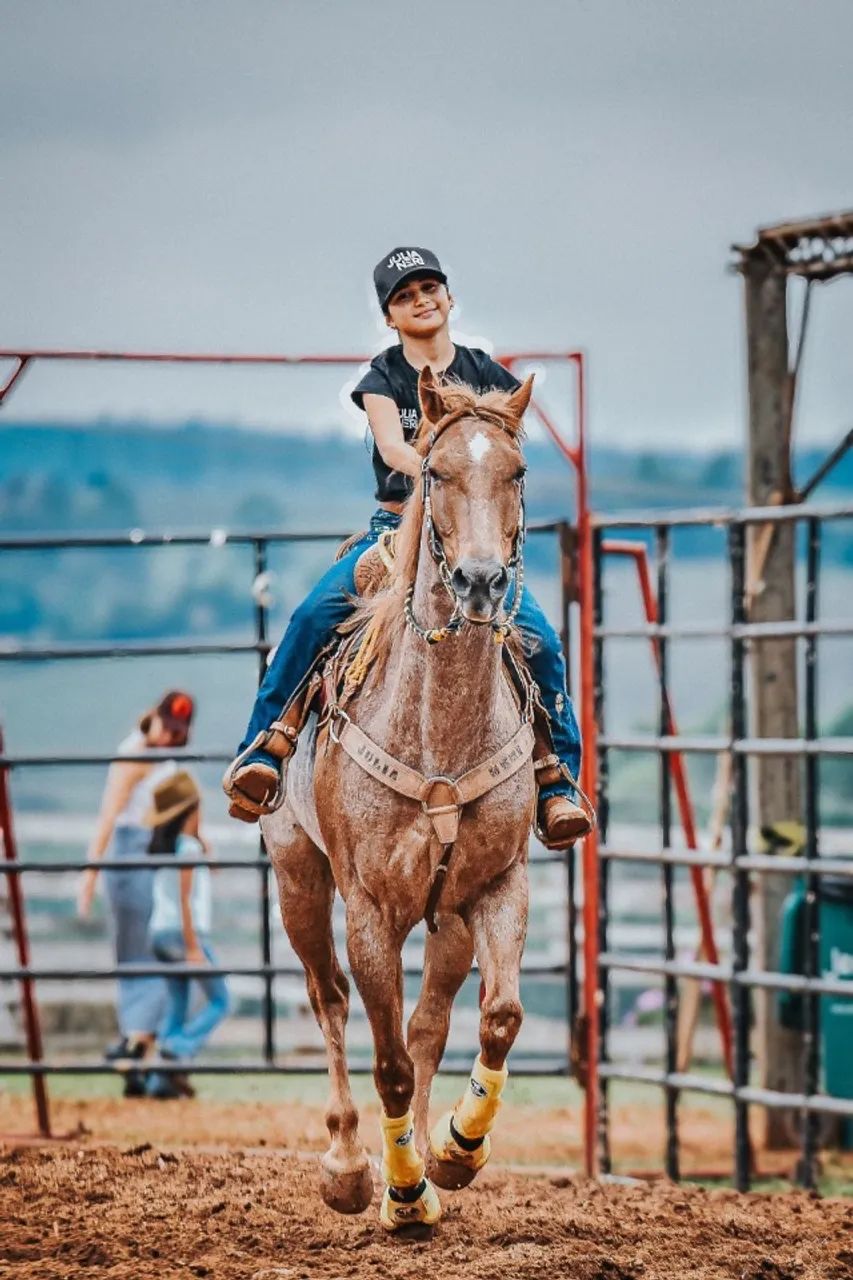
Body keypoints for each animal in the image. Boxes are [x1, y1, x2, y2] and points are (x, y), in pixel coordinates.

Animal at [262, 367, 537, 1233]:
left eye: (517, 472)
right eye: (435, 473)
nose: (479, 580)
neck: (438, 727)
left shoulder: (495, 886)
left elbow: (496, 1018)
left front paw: (454, 1151)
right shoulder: (369, 909)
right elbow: (383, 1059)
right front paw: (402, 1192)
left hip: (444, 918)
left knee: (427, 1025)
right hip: (297, 877)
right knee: (329, 1001)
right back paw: (354, 1168)